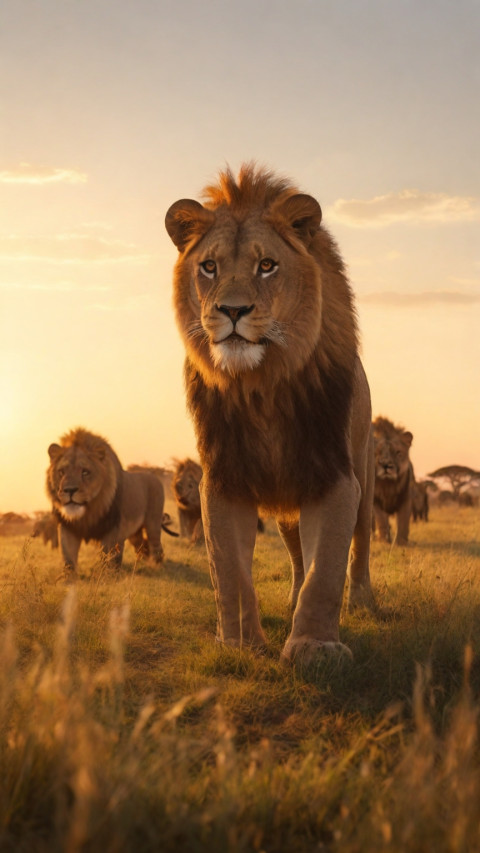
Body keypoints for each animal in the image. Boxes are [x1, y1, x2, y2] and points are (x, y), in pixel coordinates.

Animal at [46, 428, 173, 578]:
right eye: (61, 472)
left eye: (85, 472)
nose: (69, 490)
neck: (88, 512)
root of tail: (154, 476)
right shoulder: (68, 527)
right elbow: (68, 558)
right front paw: (67, 579)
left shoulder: (114, 529)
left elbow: (109, 557)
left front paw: (108, 577)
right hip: (134, 533)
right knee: (142, 545)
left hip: (153, 523)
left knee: (155, 545)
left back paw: (157, 566)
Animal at [165, 163, 375, 665]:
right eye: (209, 267)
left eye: (267, 265)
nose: (233, 310)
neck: (260, 387)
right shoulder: (224, 478)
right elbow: (230, 573)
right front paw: (241, 643)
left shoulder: (334, 474)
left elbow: (327, 569)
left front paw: (315, 648)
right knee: (297, 554)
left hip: (364, 470)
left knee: (360, 545)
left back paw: (362, 601)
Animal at [372, 416, 414, 545]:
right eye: (377, 452)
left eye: (398, 452)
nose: (386, 465)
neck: (388, 485)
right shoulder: (375, 502)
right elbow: (381, 520)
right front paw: (383, 540)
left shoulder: (405, 498)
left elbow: (403, 522)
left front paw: (401, 542)